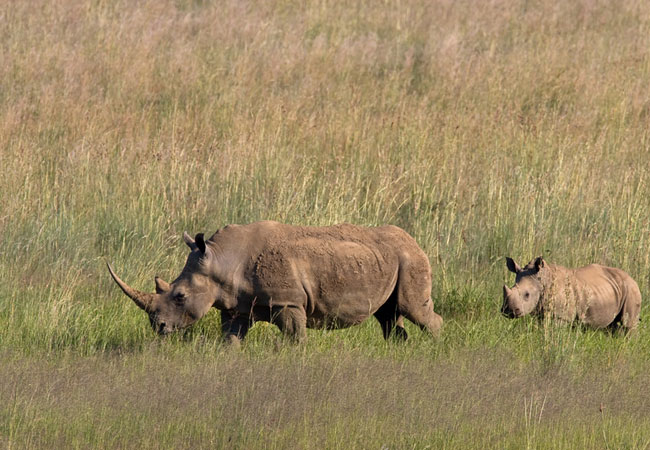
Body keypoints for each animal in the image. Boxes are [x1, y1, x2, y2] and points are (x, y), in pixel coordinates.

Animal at [107, 221, 440, 342]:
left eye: (179, 296)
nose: (158, 327)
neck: (221, 260)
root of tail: (415, 241)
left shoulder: (288, 302)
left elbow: (294, 338)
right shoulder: (236, 307)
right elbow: (231, 339)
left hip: (410, 259)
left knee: (413, 309)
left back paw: (435, 348)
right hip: (387, 259)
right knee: (388, 315)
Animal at [502, 256, 636, 330]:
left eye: (527, 295)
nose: (508, 311)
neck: (544, 279)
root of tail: (632, 278)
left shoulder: (561, 316)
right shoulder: (542, 312)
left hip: (631, 289)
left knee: (627, 325)